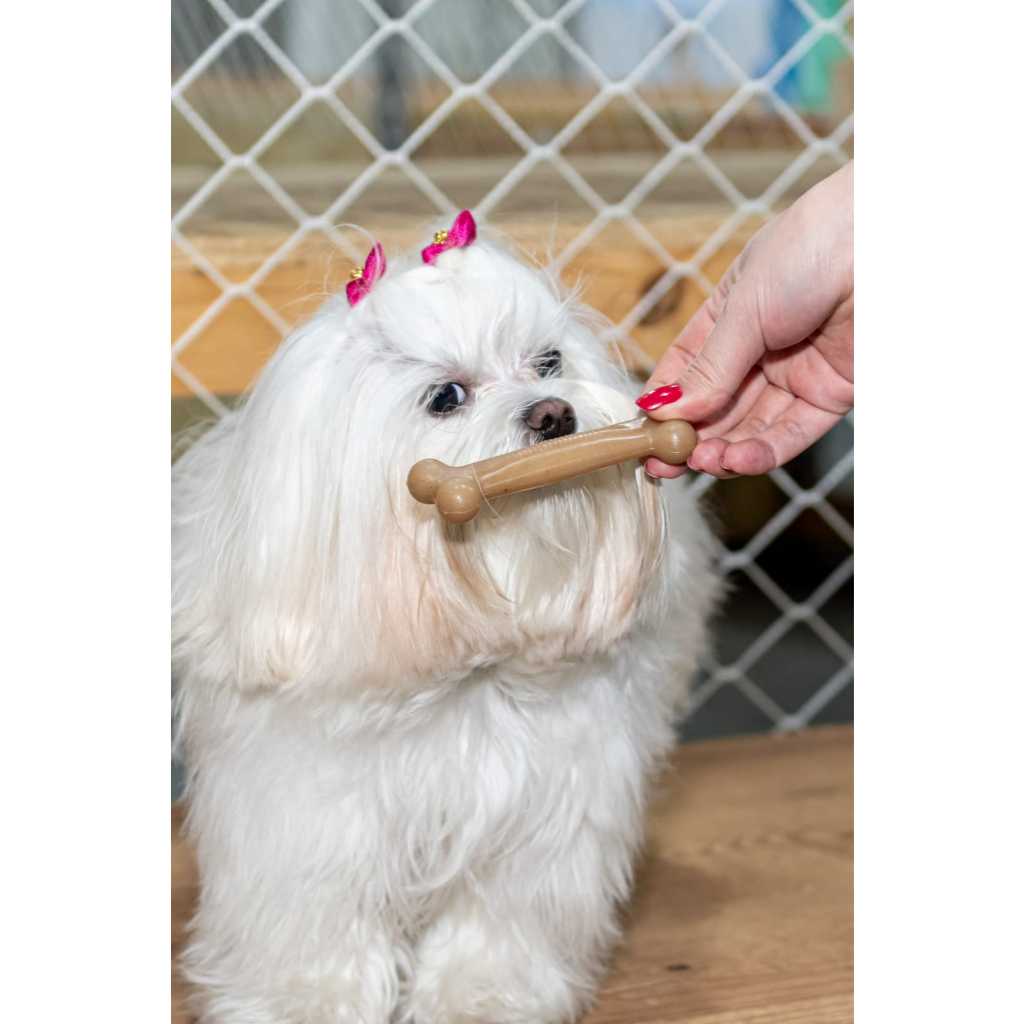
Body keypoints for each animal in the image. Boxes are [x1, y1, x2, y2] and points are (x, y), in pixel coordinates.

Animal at [172, 211, 718, 1023]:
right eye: (446, 397)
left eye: (549, 360)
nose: (554, 413)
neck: (463, 671)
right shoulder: (310, 813)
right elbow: (315, 915)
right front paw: (306, 999)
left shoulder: (547, 813)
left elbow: (499, 919)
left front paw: (482, 997)